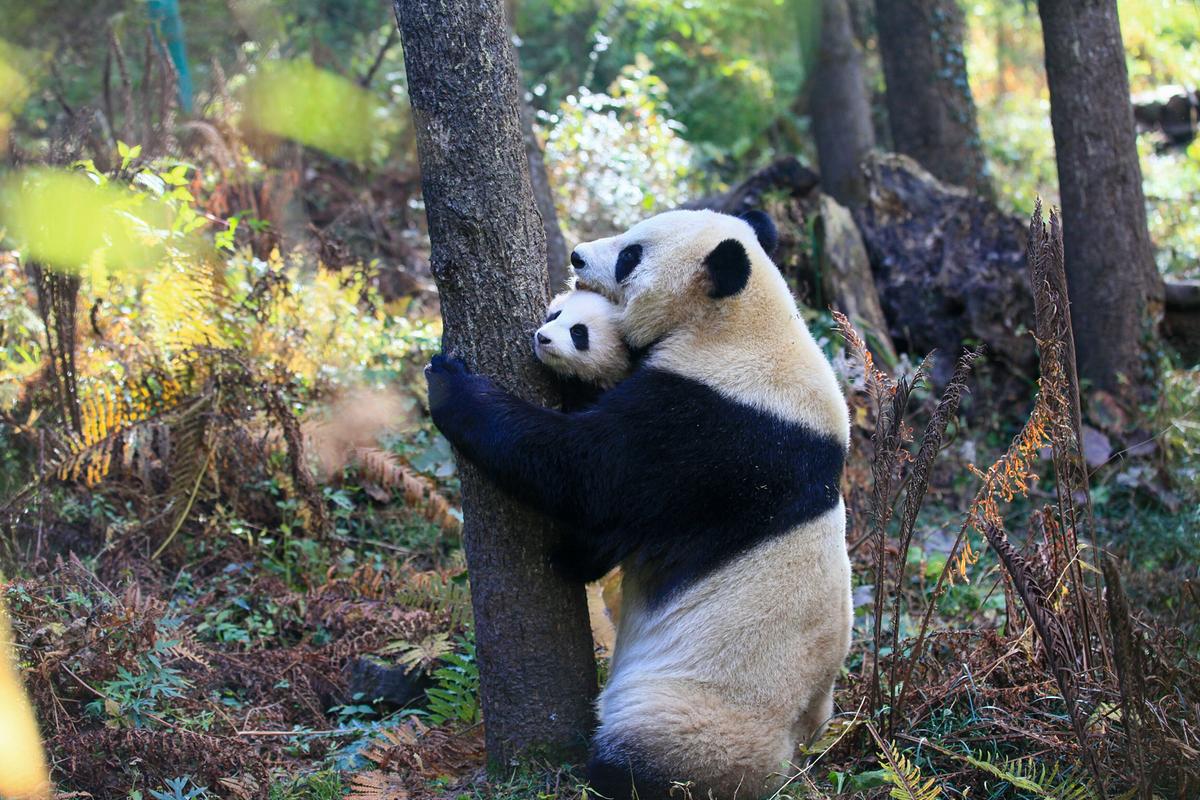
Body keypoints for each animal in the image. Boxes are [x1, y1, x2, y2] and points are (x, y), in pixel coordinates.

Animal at [425, 209, 851, 800]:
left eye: (631, 255)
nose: (576, 256)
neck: (742, 321)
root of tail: (794, 760)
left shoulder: (717, 426)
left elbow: (590, 475)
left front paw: (450, 383)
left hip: (703, 709)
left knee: (657, 748)